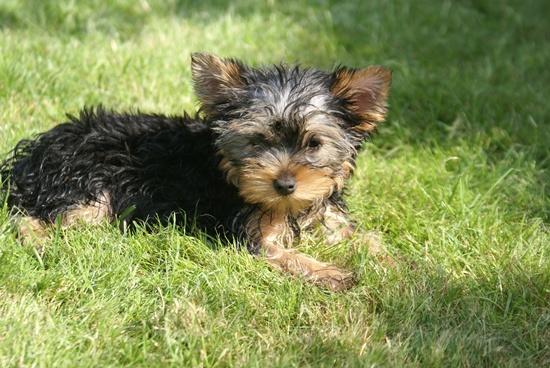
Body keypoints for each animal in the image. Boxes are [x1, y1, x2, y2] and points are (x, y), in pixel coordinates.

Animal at [0, 53, 392, 292]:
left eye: (314, 144)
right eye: (256, 141)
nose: (284, 184)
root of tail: (32, 154)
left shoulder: (326, 214)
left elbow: (360, 237)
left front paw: (392, 263)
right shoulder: (249, 233)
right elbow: (282, 254)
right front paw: (330, 272)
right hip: (86, 186)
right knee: (33, 215)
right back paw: (40, 241)